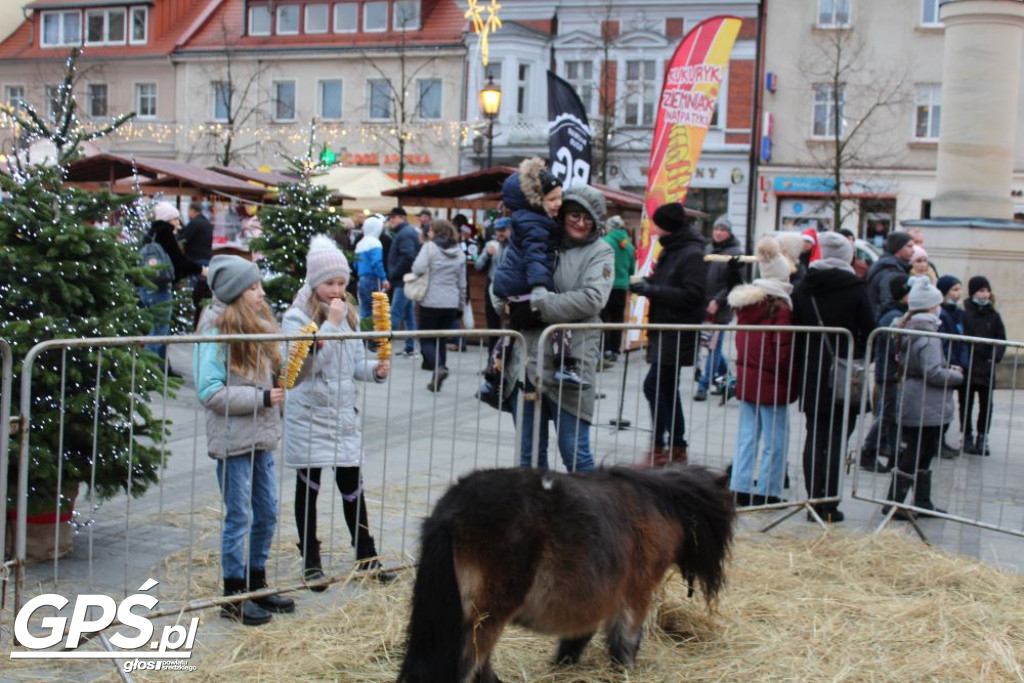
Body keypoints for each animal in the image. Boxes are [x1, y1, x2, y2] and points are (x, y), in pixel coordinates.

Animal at [395, 466, 733, 679]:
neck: (655, 505)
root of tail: (451, 513)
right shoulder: (636, 593)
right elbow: (626, 640)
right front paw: (624, 669)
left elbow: (578, 638)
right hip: (484, 619)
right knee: (466, 666)